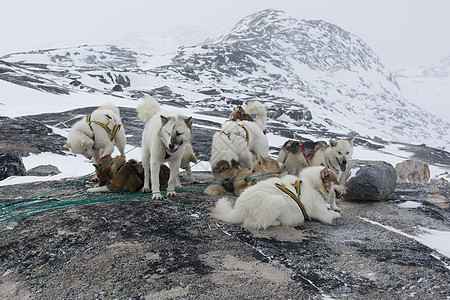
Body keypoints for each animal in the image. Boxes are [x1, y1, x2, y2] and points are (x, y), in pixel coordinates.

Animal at [212, 166, 348, 230]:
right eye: (337, 181)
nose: (348, 189)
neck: (313, 185)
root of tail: (240, 208)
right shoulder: (324, 215)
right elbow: (331, 214)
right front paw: (338, 213)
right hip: (279, 201)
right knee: (255, 223)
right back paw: (277, 222)